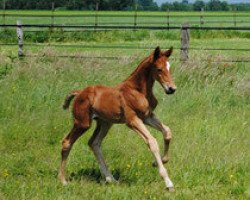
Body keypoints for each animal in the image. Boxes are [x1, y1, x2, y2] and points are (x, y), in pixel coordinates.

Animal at [58, 46, 177, 191]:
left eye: (169, 67)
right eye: (159, 69)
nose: (172, 89)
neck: (137, 90)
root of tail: (79, 93)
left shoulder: (147, 116)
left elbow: (167, 132)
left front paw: (158, 161)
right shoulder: (132, 120)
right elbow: (152, 141)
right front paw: (168, 182)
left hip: (104, 123)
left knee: (94, 143)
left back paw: (110, 179)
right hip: (82, 123)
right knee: (67, 142)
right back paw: (63, 180)